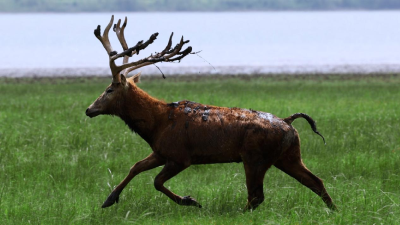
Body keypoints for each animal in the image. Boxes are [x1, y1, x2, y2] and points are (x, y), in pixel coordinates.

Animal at [86, 15, 336, 211]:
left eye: (108, 89)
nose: (89, 109)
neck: (156, 125)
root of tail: (289, 122)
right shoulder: (161, 151)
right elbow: (135, 166)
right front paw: (109, 198)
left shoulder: (180, 156)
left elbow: (156, 181)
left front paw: (190, 200)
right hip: (289, 155)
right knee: (316, 181)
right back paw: (334, 210)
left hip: (255, 156)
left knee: (256, 196)